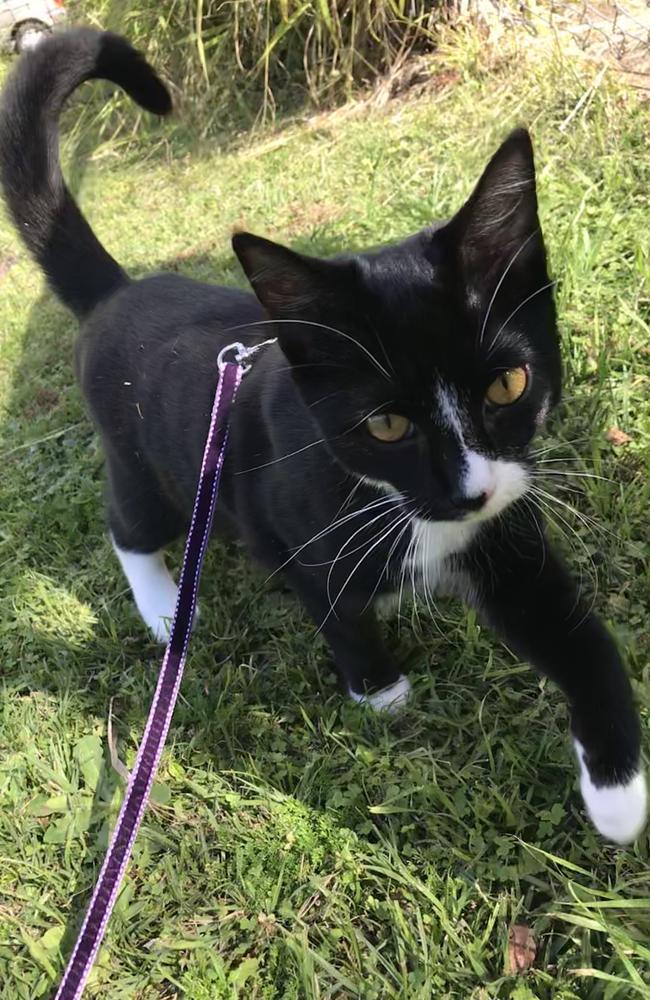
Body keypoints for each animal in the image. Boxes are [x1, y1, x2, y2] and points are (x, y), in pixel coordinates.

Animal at [1, 27, 644, 844]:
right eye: (386, 424)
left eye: (508, 386)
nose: (470, 493)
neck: (395, 503)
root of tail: (116, 292)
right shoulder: (288, 523)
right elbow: (333, 606)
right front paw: (379, 687)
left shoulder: (505, 524)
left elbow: (574, 630)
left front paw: (619, 791)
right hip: (144, 463)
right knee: (129, 524)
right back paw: (165, 606)